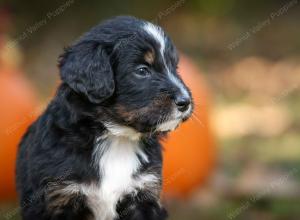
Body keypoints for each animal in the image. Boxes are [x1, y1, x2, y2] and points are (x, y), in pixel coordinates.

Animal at [16, 16, 193, 220]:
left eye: (175, 67)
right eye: (142, 70)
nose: (185, 102)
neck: (117, 137)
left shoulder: (144, 194)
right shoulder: (59, 198)